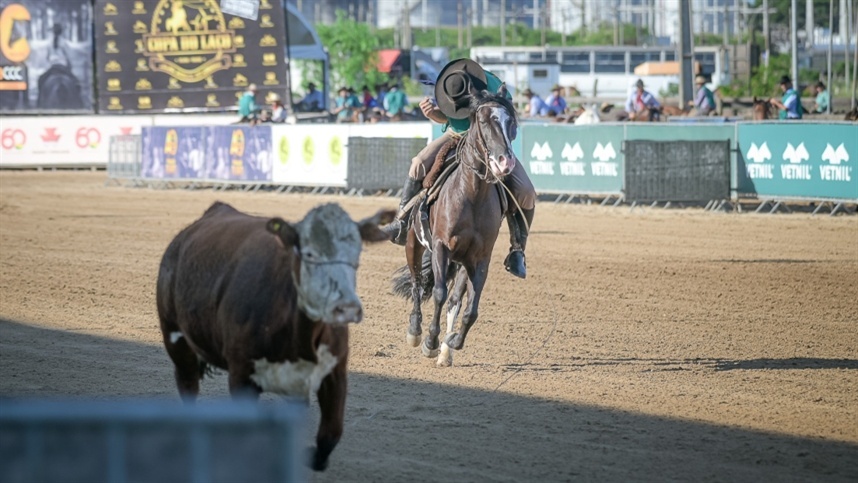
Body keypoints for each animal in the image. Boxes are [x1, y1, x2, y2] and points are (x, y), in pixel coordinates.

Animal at [156, 200, 392, 472]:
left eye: (356, 253)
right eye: (309, 253)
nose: (347, 308)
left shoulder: (335, 372)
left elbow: (331, 433)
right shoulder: (241, 375)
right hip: (175, 337)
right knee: (187, 383)